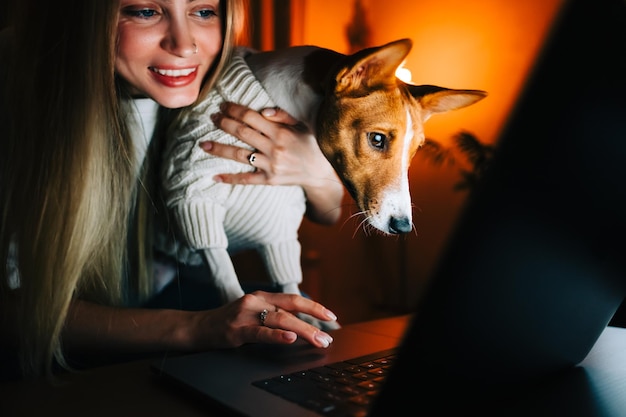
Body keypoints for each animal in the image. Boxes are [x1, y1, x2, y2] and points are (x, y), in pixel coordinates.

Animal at [160, 38, 482, 328]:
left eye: (415, 151)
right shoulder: (191, 195)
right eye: (377, 139)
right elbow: (224, 272)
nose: (403, 227)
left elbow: (287, 280)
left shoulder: (280, 217)